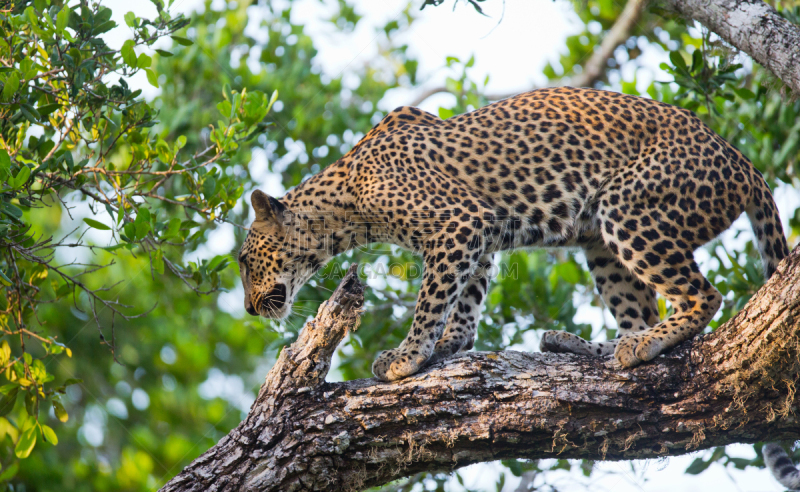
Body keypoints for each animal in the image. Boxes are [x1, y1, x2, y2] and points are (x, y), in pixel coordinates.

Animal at [236, 86, 788, 382]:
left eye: (243, 262)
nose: (248, 309)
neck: (343, 203)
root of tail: (740, 158)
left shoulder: (459, 220)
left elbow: (431, 299)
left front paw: (407, 356)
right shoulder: (479, 231)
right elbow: (462, 300)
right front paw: (448, 344)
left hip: (627, 208)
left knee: (703, 296)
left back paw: (638, 345)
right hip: (602, 246)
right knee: (642, 313)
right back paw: (590, 345)